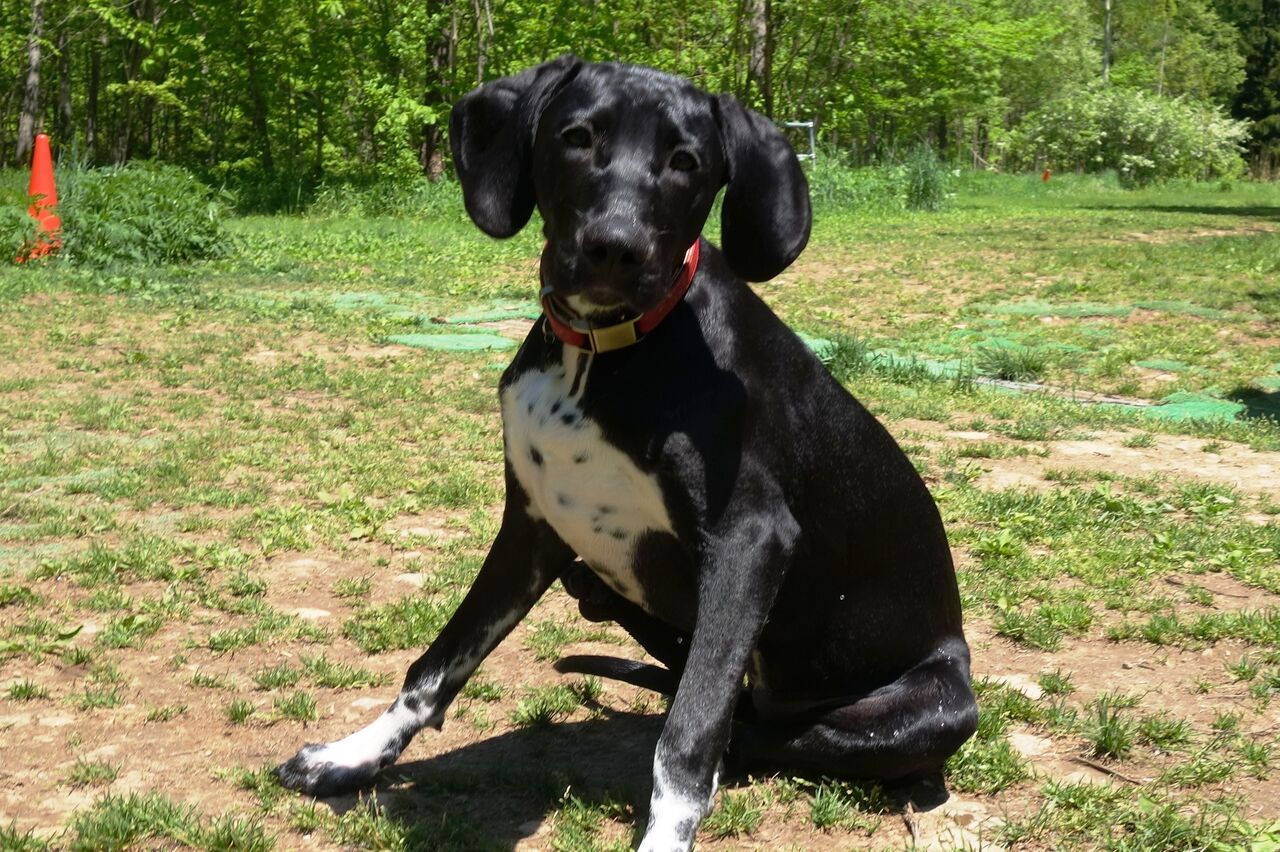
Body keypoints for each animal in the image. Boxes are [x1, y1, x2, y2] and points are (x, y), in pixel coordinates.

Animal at [275, 56, 978, 850]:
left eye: (686, 163)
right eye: (577, 138)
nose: (616, 246)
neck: (601, 352)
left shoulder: (750, 541)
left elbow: (689, 733)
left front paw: (667, 832)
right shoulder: (534, 527)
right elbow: (440, 662)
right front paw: (353, 755)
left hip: (935, 707)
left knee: (755, 732)